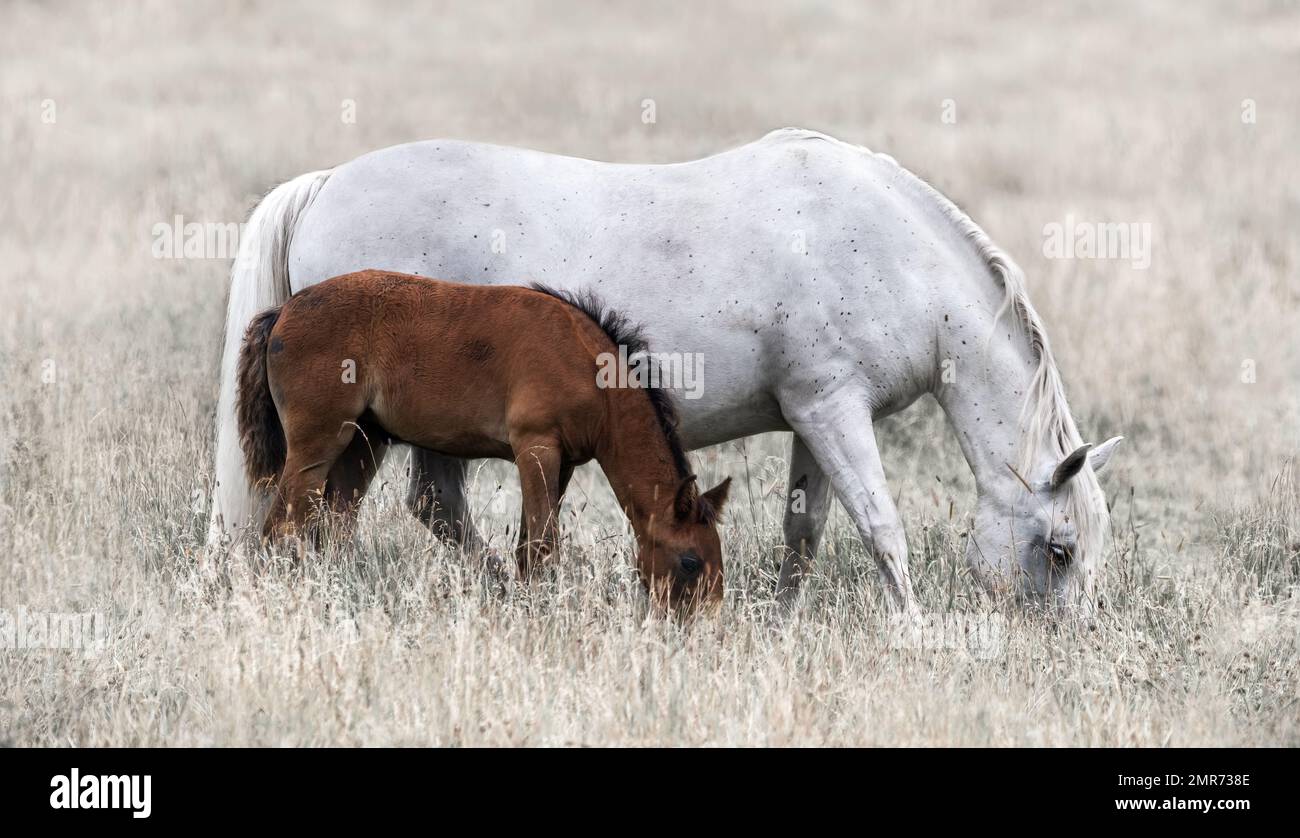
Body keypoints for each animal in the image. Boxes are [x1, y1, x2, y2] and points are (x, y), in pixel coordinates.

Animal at [234, 269, 731, 610]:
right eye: (690, 562)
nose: (701, 628)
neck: (589, 368)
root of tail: (284, 311)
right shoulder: (535, 448)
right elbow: (544, 545)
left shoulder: (563, 463)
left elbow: (530, 547)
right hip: (317, 444)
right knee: (281, 528)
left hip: (364, 444)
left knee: (334, 527)